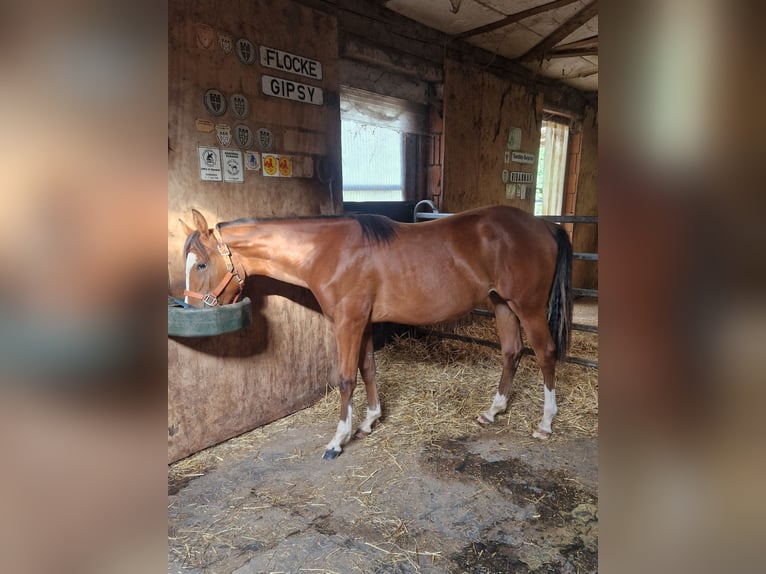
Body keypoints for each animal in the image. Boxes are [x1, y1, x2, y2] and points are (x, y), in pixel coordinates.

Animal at [180, 205, 573, 460]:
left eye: (201, 264)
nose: (192, 310)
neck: (328, 252)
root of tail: (545, 226)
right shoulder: (364, 322)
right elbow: (368, 368)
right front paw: (369, 420)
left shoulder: (348, 322)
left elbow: (345, 378)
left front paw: (338, 439)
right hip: (501, 303)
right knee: (511, 351)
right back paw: (493, 411)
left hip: (527, 306)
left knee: (545, 353)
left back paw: (545, 423)